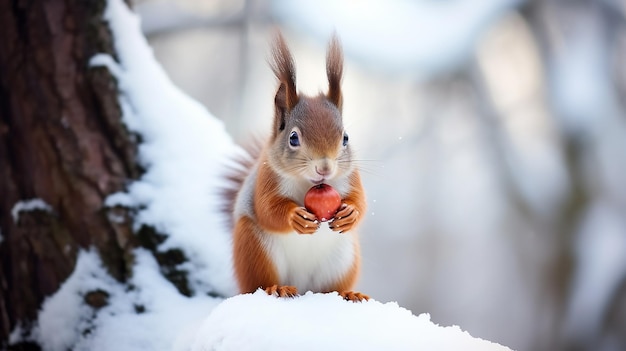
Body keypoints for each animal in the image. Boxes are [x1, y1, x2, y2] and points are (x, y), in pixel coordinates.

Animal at [224, 31, 368, 304]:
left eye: (345, 138)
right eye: (293, 138)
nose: (324, 168)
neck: (310, 183)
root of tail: (303, 288)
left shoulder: (351, 176)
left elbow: (360, 201)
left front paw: (351, 213)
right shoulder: (267, 177)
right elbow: (267, 208)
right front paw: (295, 217)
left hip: (343, 260)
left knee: (331, 288)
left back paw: (348, 293)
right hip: (255, 250)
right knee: (259, 283)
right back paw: (277, 288)